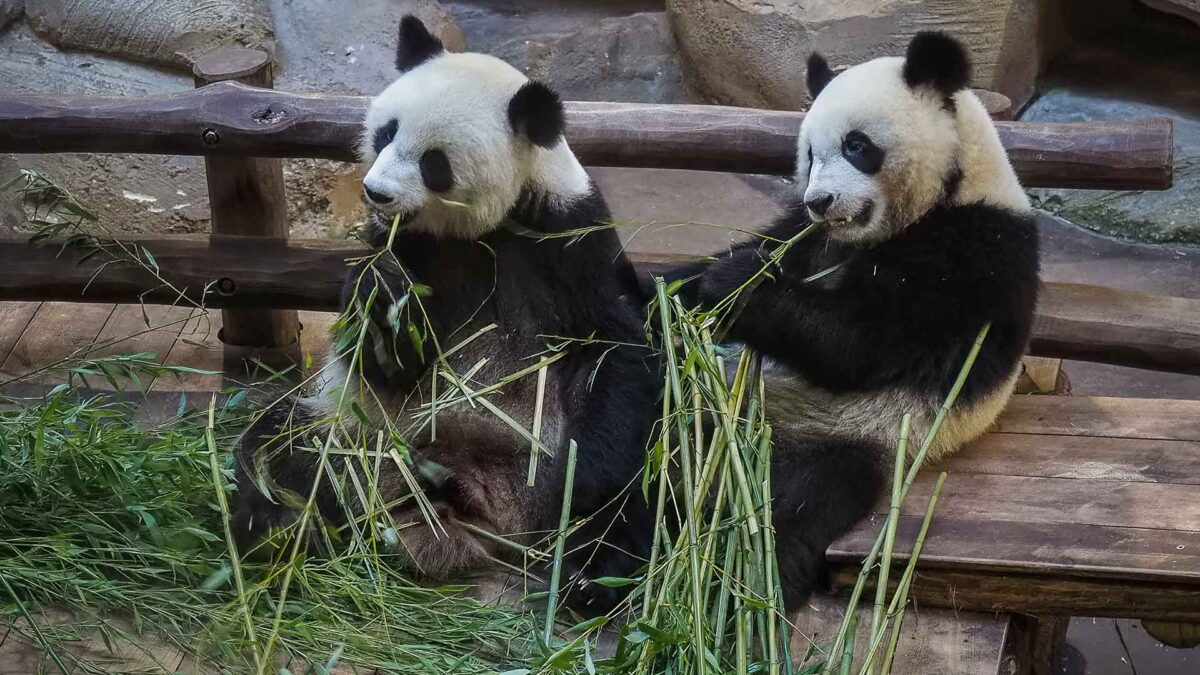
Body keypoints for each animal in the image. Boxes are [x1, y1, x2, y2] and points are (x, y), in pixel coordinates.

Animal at [231, 14, 657, 610]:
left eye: (434, 162)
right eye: (386, 133)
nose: (376, 193)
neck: (483, 228)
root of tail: (466, 512)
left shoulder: (569, 239)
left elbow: (612, 349)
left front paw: (583, 485)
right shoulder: (416, 248)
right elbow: (391, 360)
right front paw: (380, 296)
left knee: (635, 504)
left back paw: (586, 578)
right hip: (363, 437)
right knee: (284, 445)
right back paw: (282, 528)